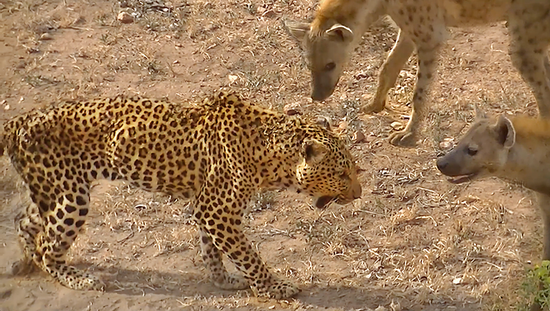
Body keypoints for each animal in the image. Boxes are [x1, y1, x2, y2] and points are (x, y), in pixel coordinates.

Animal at [1, 90, 366, 300]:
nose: (359, 193)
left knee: (26, 222)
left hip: (56, 190)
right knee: (47, 244)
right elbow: (247, 254)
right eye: (341, 173)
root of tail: (19, 120)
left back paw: (27, 262)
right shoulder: (216, 209)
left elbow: (212, 249)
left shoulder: (207, 207)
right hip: (70, 198)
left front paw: (223, 280)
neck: (269, 155)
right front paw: (273, 288)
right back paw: (78, 279)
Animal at [284, 0, 550, 147]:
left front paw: (408, 133)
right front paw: (374, 105)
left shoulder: (429, 36)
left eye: (330, 65)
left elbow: (419, 92)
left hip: (525, 34)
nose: (317, 96)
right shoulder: (408, 28)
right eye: (309, 66)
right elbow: (388, 67)